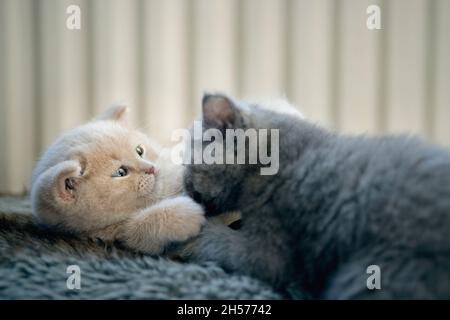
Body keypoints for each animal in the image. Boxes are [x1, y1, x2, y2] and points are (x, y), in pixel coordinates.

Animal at [31, 105, 206, 255]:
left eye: (139, 150)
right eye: (121, 172)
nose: (151, 168)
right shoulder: (118, 235)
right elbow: (139, 231)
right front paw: (186, 214)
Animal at [181, 93, 450, 300]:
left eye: (187, 165)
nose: (185, 188)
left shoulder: (267, 248)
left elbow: (226, 246)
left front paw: (195, 235)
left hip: (371, 272)